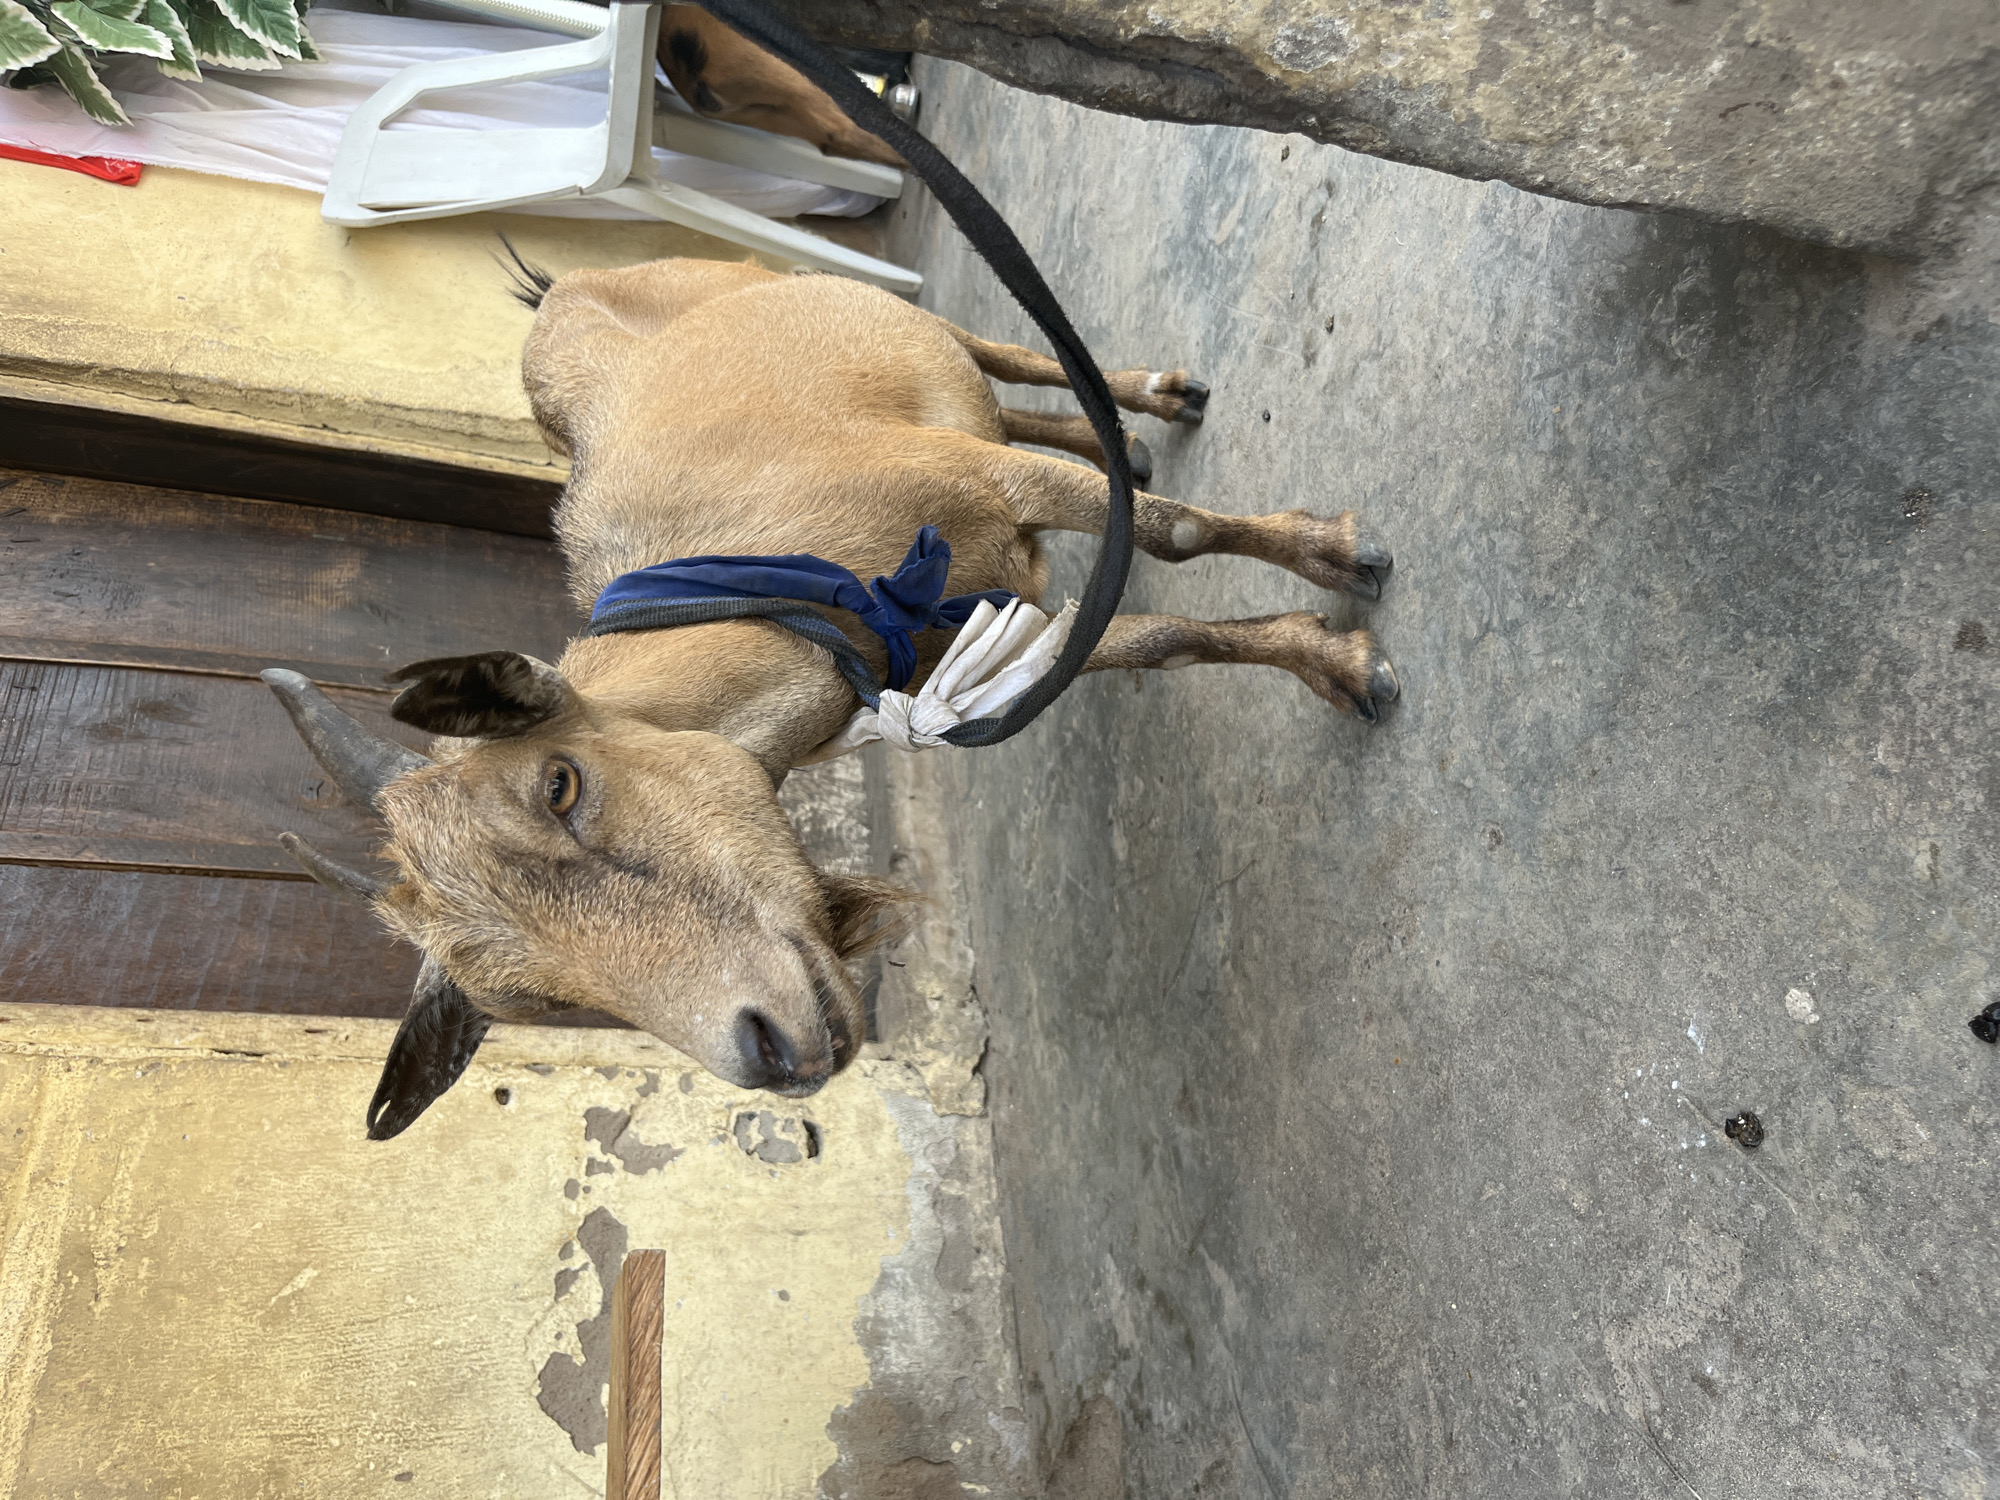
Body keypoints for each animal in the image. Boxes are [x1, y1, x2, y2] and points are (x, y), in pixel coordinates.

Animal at [270, 255, 1398, 1137]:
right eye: (527, 996)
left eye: (559, 785)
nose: (768, 1050)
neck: (761, 592)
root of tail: (562, 290)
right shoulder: (972, 638)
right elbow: (1150, 639)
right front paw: (1332, 662)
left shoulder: (976, 481)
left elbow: (1175, 534)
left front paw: (1339, 559)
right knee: (1005, 390)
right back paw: (1131, 437)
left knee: (1003, 349)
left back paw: (1154, 399)